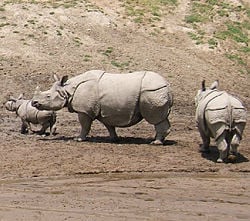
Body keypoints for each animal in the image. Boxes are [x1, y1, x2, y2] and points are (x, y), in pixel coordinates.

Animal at [31, 70, 173, 144]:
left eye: (48, 96)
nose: (33, 103)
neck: (67, 89)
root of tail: (168, 85)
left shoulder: (84, 110)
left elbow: (85, 125)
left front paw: (79, 139)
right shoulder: (105, 110)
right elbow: (109, 125)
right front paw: (113, 139)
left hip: (152, 92)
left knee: (156, 119)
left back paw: (156, 142)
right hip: (155, 91)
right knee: (161, 118)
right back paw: (158, 140)